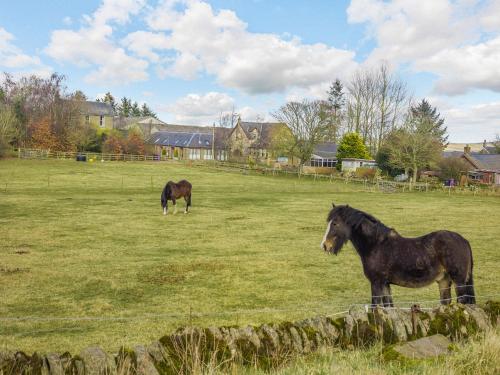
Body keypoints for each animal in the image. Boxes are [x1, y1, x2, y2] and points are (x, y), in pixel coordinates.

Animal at [320, 204, 476, 306]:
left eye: (335, 223)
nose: (325, 245)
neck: (376, 245)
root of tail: (464, 240)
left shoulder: (376, 283)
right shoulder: (385, 284)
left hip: (459, 282)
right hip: (444, 281)